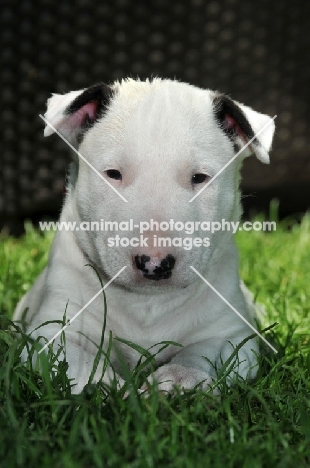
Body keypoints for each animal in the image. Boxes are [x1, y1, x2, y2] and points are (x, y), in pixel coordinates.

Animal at [13, 78, 274, 394]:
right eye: (113, 173)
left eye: (199, 178)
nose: (154, 264)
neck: (147, 303)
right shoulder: (50, 331)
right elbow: (78, 362)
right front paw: (106, 388)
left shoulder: (232, 335)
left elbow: (203, 353)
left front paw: (178, 381)